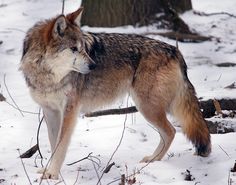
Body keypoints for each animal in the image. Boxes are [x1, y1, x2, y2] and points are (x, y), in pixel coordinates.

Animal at [19, 7, 211, 179]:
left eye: (83, 48)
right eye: (74, 49)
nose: (94, 65)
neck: (46, 76)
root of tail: (175, 50)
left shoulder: (69, 111)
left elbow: (61, 145)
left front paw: (52, 174)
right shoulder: (50, 111)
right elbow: (54, 144)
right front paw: (49, 171)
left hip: (147, 107)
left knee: (171, 131)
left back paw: (153, 161)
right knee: (168, 133)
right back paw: (152, 161)